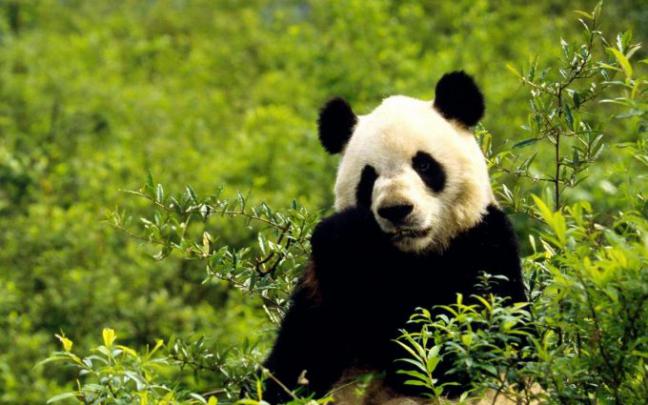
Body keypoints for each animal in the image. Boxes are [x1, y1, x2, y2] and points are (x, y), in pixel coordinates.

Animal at [261, 71, 527, 404]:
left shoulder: (484, 245)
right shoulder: (321, 294)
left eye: (424, 164)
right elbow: (297, 363)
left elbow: (454, 351)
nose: (396, 210)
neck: (409, 256)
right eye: (369, 176)